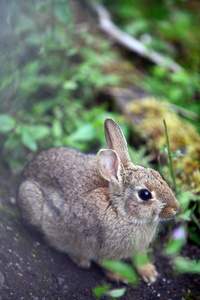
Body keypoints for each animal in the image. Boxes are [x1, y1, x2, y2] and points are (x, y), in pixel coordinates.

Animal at [17, 117, 180, 284]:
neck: (120, 211)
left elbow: (140, 259)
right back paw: (81, 260)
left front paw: (150, 273)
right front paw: (121, 278)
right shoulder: (103, 249)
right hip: (31, 199)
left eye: (157, 174)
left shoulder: (138, 248)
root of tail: (25, 173)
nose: (176, 208)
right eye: (145, 194)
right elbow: (106, 265)